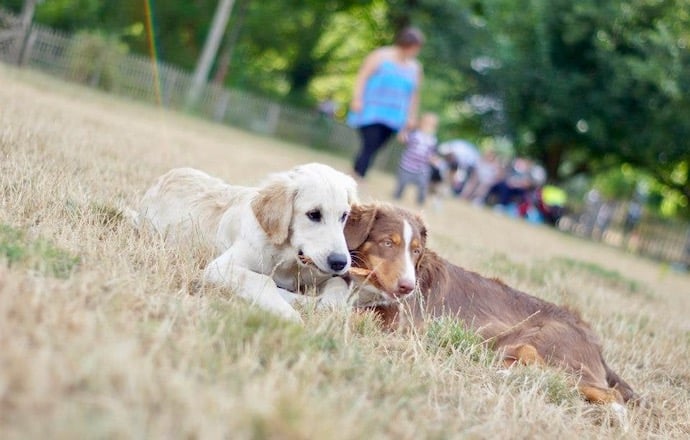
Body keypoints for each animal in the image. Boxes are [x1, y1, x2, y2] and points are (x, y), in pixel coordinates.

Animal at [136, 163, 358, 322]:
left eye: (344, 216)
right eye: (313, 214)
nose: (339, 262)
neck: (287, 256)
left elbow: (338, 284)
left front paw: (325, 304)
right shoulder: (219, 267)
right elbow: (262, 280)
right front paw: (290, 316)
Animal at [344, 203, 640, 406]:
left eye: (416, 250)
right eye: (387, 243)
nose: (407, 287)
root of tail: (596, 345)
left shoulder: (402, 324)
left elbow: (362, 316)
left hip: (549, 348)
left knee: (608, 394)